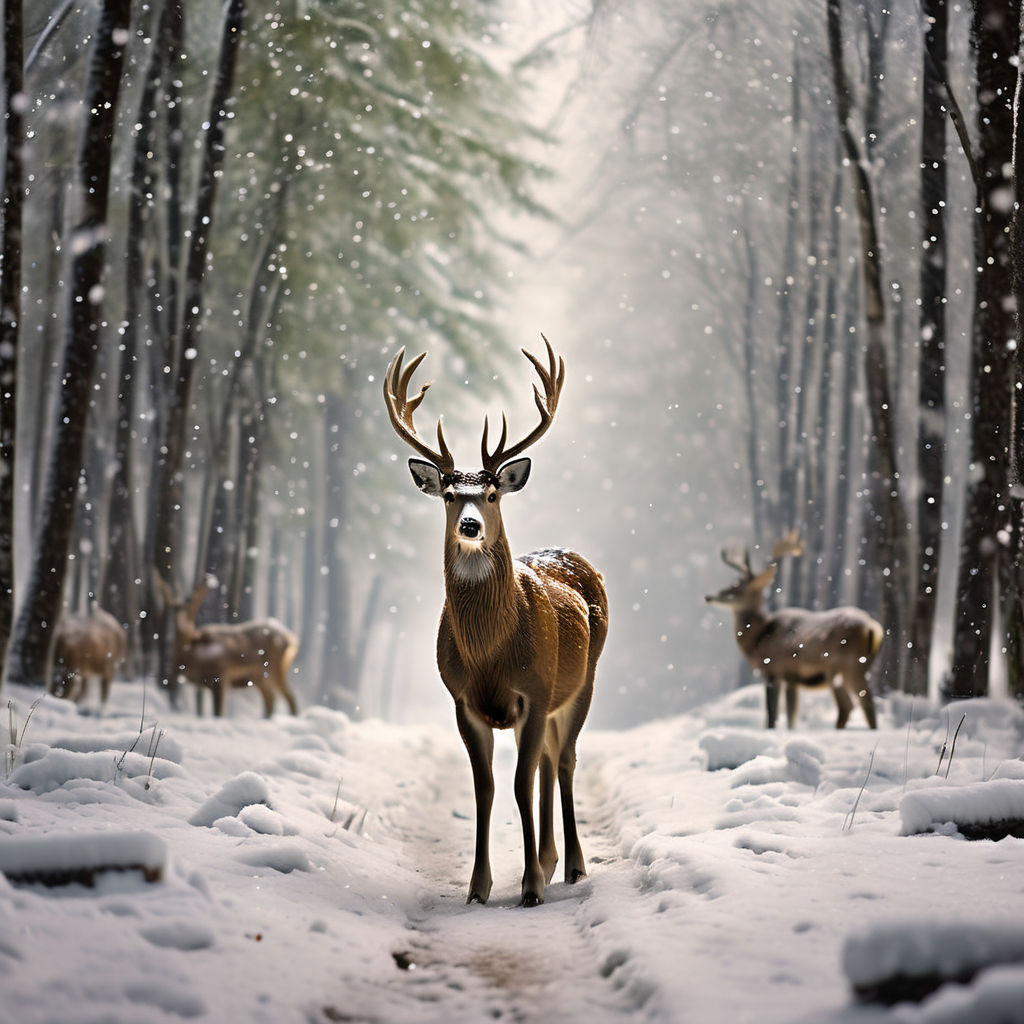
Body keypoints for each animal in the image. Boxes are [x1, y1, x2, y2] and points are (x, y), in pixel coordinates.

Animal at [152, 577, 299, 720]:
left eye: (192, 610)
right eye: (174, 610)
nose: (183, 625)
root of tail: (292, 639)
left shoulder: (221, 677)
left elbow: (218, 713)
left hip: (276, 669)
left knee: (289, 698)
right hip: (260, 677)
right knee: (271, 698)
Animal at [385, 339, 606, 909]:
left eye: (490, 494)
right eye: (448, 495)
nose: (469, 525)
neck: (490, 654)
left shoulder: (533, 689)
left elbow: (518, 785)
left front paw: (529, 886)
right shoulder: (463, 699)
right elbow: (484, 787)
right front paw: (478, 886)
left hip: (582, 683)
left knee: (564, 761)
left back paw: (572, 866)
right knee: (549, 761)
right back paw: (550, 860)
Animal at [704, 532, 880, 733]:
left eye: (736, 586)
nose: (709, 596)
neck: (758, 638)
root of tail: (873, 627)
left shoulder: (774, 668)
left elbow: (772, 714)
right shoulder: (792, 677)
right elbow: (791, 716)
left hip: (848, 665)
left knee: (860, 702)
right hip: (846, 669)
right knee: (851, 704)